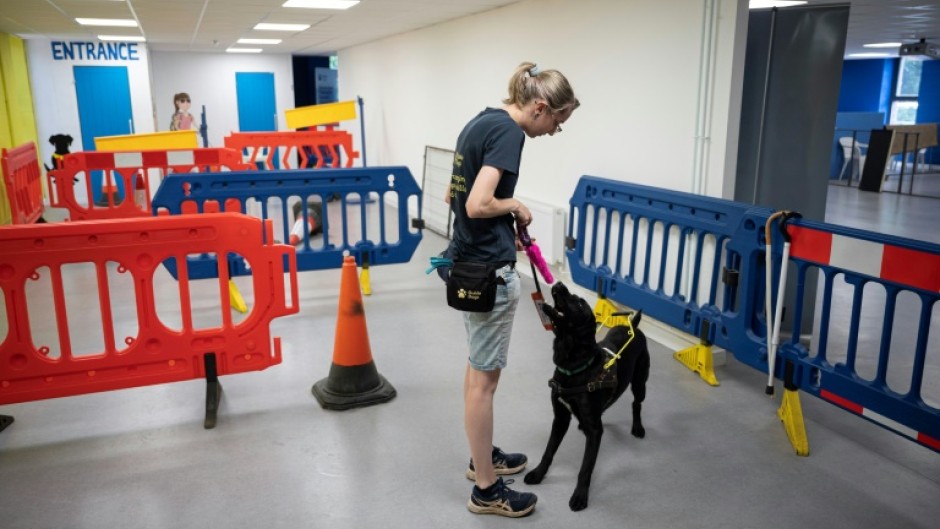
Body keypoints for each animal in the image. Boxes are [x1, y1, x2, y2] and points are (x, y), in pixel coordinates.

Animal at [524, 282, 648, 510]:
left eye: (580, 303)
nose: (559, 284)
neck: (574, 365)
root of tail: (633, 326)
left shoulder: (594, 432)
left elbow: (585, 468)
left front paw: (580, 496)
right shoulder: (560, 418)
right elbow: (548, 451)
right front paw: (538, 474)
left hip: (640, 382)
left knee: (636, 404)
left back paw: (637, 427)